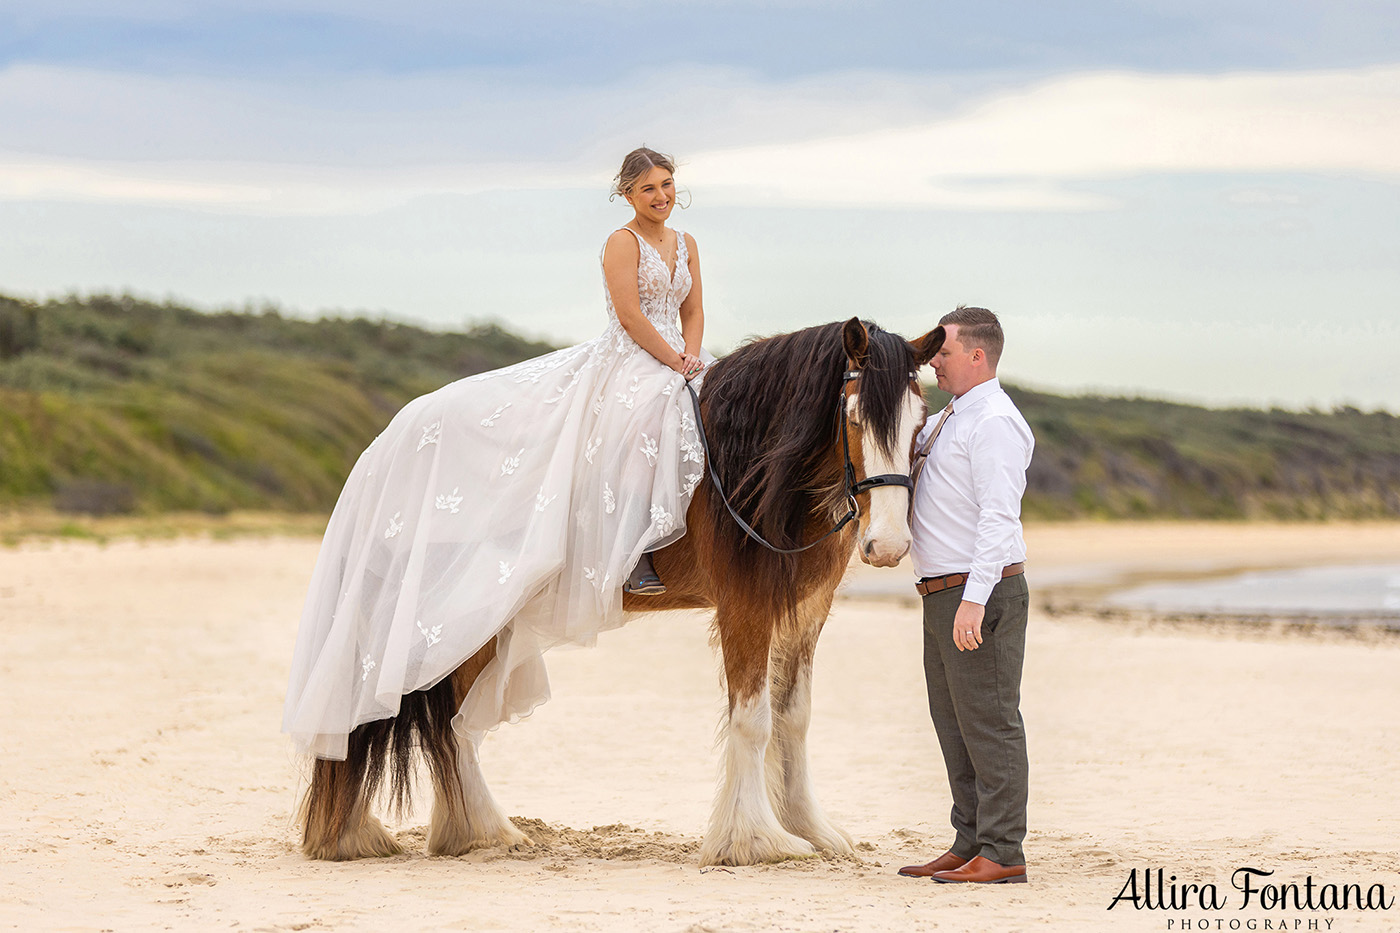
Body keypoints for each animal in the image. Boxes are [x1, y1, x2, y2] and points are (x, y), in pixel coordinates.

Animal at [301, 316, 946, 862]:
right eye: (855, 417)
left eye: (921, 421)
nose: (889, 544)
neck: (748, 463)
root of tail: (385, 445)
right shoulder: (745, 607)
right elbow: (753, 720)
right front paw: (756, 841)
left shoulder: (804, 613)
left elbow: (794, 719)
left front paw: (811, 829)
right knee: (430, 722)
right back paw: (441, 833)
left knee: (450, 724)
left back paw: (471, 833)